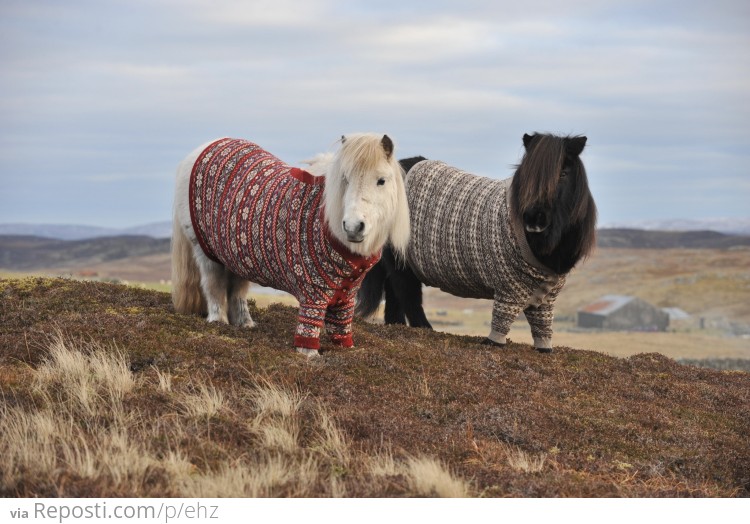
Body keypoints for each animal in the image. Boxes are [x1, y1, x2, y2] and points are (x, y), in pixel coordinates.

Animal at [172, 134, 412, 356]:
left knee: (237, 290)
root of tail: (205, 147)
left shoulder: (347, 294)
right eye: (344, 178)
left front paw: (346, 350)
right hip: (205, 252)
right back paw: (218, 321)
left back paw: (245, 324)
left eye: (381, 180)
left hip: (236, 255)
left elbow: (341, 327)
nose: (353, 227)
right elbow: (309, 326)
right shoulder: (313, 292)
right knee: (213, 284)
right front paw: (310, 355)